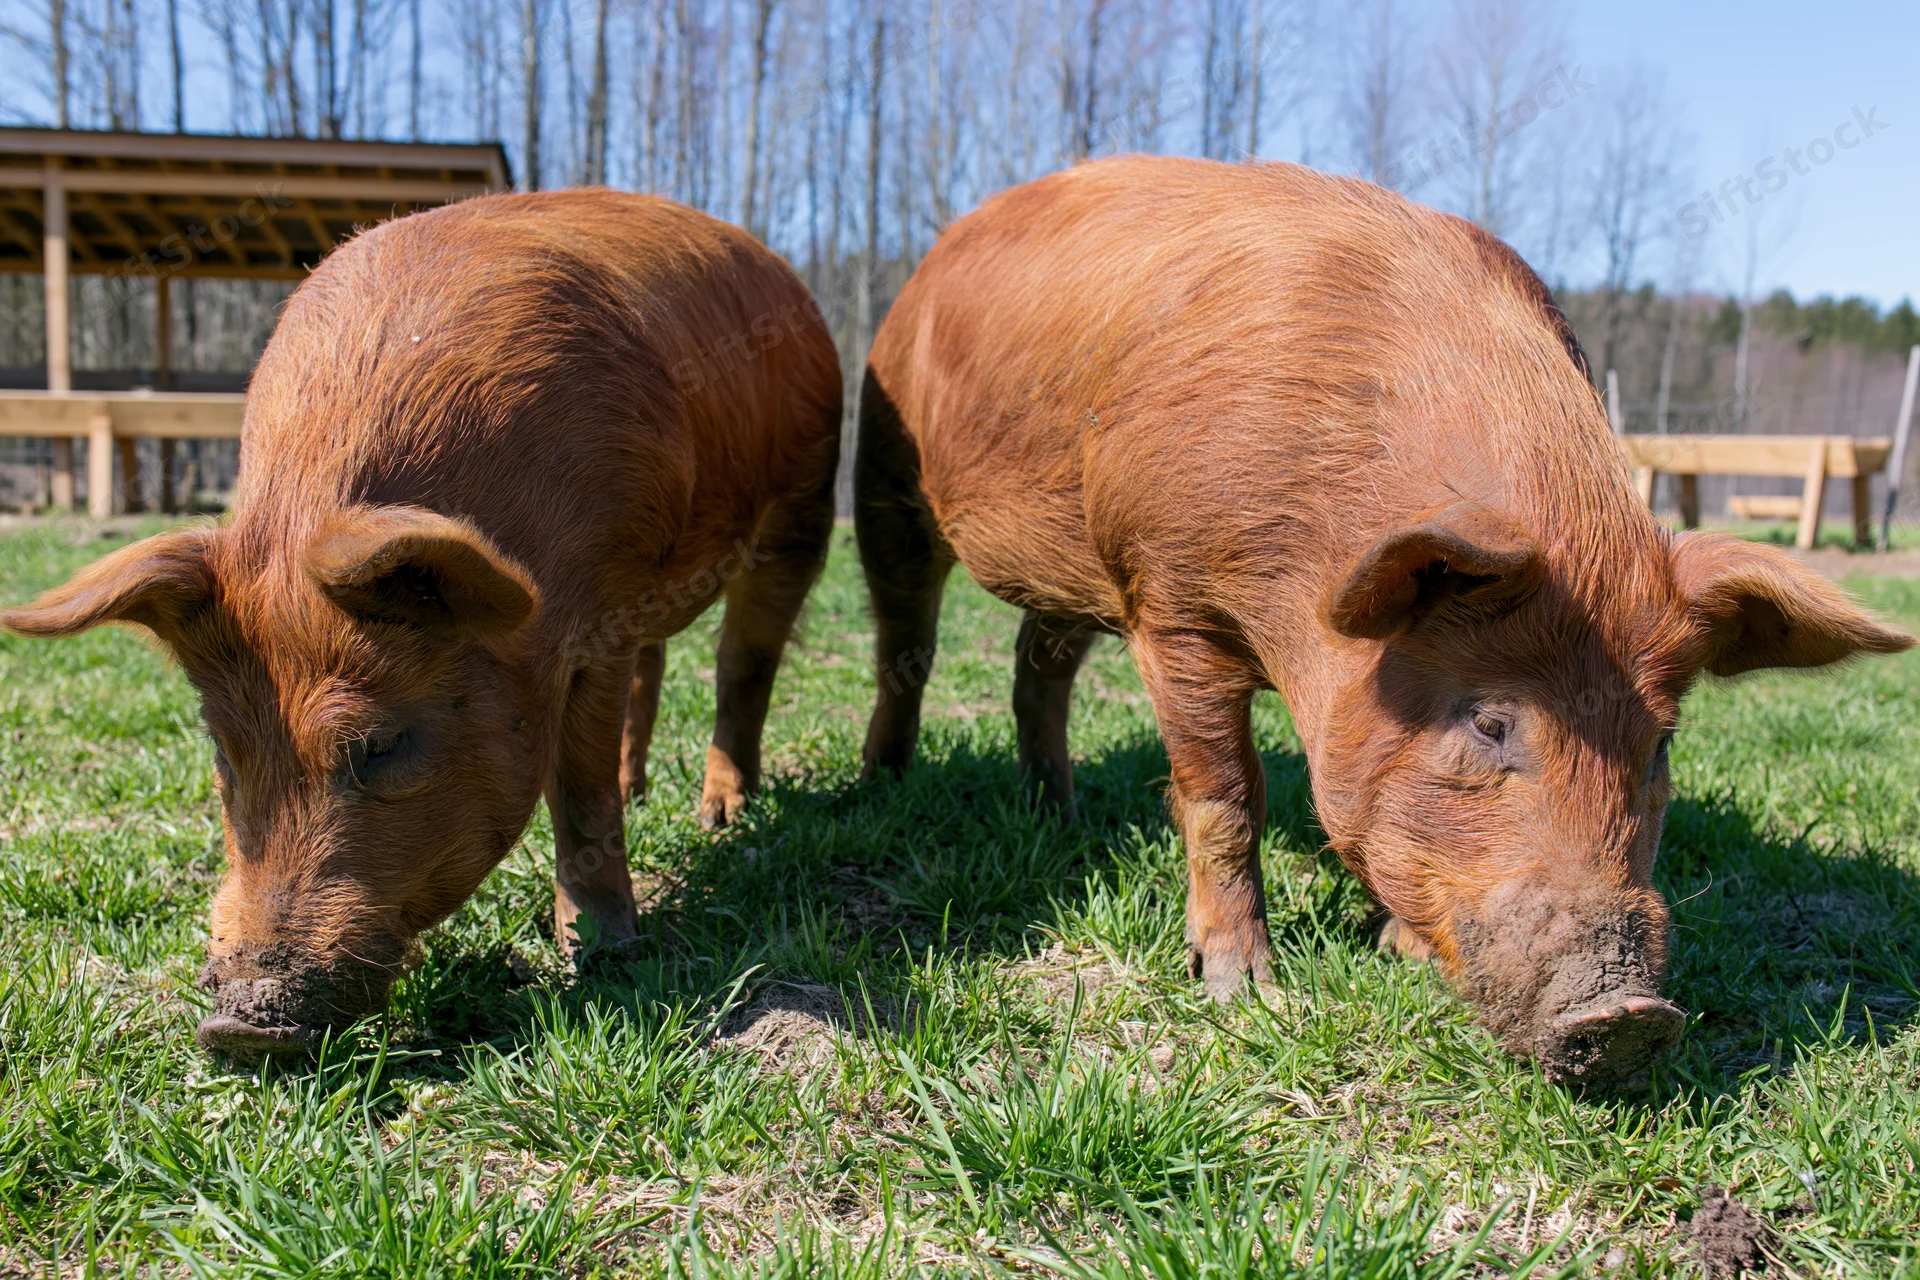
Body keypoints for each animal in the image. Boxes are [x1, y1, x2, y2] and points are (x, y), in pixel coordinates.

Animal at [3, 190, 841, 1058]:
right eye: (223, 753)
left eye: (382, 745)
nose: (240, 1024)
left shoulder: (604, 609)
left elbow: (578, 788)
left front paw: (604, 956)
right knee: (659, 668)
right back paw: (642, 791)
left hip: (804, 501)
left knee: (744, 663)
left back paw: (721, 817)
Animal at [852, 156, 1911, 1086]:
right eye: (1488, 721)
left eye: (1659, 747)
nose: (1628, 1017)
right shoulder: (1172, 598)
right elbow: (1226, 796)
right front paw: (1245, 993)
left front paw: (1394, 950)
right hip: (889, 471)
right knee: (908, 640)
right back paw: (885, 782)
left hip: (1074, 569)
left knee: (1040, 661)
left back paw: (1057, 813)